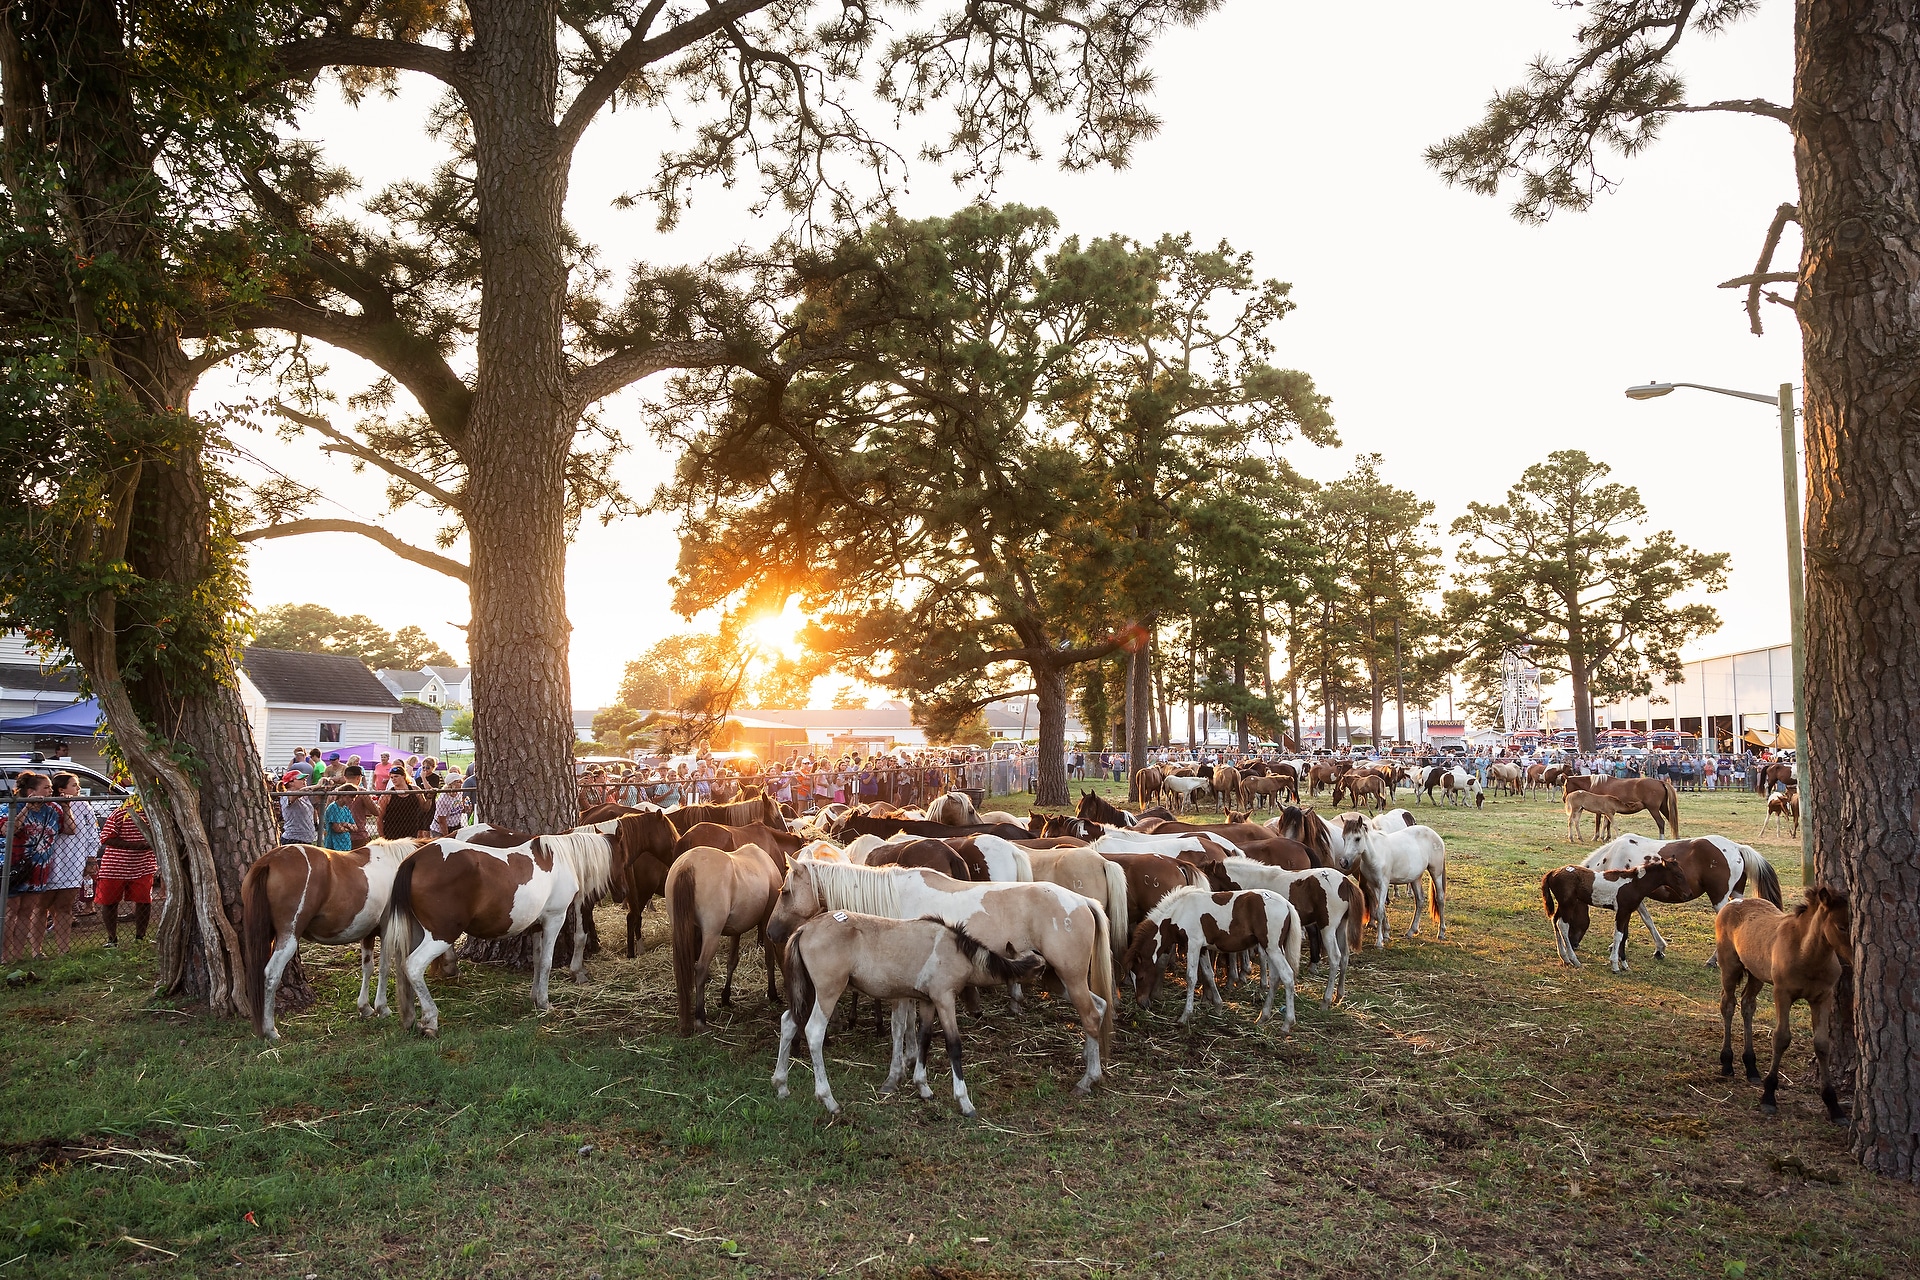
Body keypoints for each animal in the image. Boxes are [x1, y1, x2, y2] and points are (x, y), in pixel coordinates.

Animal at [241, 840, 418, 1043]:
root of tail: (270, 861)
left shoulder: (368, 933)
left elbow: (368, 968)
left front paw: (365, 1007)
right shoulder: (387, 930)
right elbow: (384, 968)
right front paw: (383, 1008)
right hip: (288, 938)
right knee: (271, 974)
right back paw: (270, 1030)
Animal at [389, 832, 622, 1043]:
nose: (621, 896)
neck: (563, 859)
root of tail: (415, 859)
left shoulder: (537, 926)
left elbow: (537, 961)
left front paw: (535, 997)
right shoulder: (554, 919)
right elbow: (546, 963)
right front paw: (545, 1002)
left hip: (417, 933)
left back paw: (411, 1018)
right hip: (441, 935)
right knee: (413, 966)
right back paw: (430, 1021)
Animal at [660, 844, 779, 1036]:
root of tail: (688, 864)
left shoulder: (736, 929)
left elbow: (732, 962)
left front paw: (725, 997)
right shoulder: (766, 920)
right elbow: (769, 959)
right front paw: (773, 994)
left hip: (681, 930)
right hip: (711, 934)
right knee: (700, 968)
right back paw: (700, 1019)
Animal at [1121, 890, 1305, 1028]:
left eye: (1142, 977)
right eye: (1132, 977)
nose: (1142, 1004)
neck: (1179, 913)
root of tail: (1287, 904)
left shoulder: (1193, 944)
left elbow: (1191, 978)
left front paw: (1185, 1016)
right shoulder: (1202, 949)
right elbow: (1209, 974)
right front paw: (1218, 1006)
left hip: (1272, 948)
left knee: (1287, 976)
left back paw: (1287, 1024)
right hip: (1272, 948)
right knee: (1275, 979)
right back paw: (1263, 1017)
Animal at [1720, 890, 1850, 1120]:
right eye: (1841, 927)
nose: (1854, 957)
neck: (1807, 954)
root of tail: (1735, 900)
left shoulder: (1822, 998)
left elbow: (1822, 1045)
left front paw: (1833, 1106)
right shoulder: (1782, 993)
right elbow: (1781, 1038)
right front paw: (1768, 1096)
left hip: (1756, 974)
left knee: (1747, 1005)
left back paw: (1751, 1067)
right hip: (1730, 968)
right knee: (1728, 1005)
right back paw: (1727, 1062)